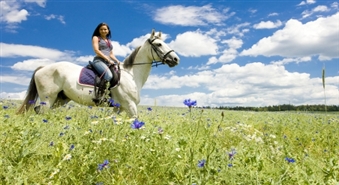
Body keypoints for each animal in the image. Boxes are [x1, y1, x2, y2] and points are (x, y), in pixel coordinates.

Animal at [16, 30, 181, 117]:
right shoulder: (130, 105)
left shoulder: (119, 108)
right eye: (159, 44)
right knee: (41, 112)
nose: (175, 59)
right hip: (48, 99)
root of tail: (42, 68)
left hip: (60, 99)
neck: (132, 75)